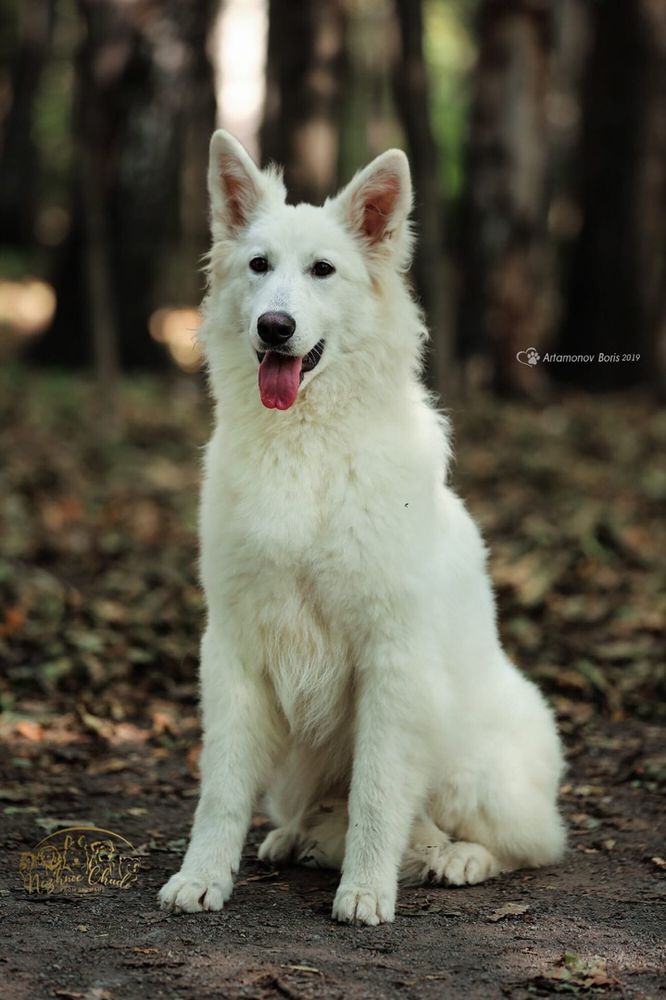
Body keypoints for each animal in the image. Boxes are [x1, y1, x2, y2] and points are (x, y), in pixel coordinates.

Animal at [158, 129, 564, 924]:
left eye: (323, 270)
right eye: (259, 266)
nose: (274, 327)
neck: (307, 445)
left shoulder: (391, 658)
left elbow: (378, 790)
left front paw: (368, 891)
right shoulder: (234, 647)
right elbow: (220, 788)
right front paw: (202, 877)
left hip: (465, 758)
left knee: (532, 842)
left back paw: (455, 858)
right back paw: (298, 838)